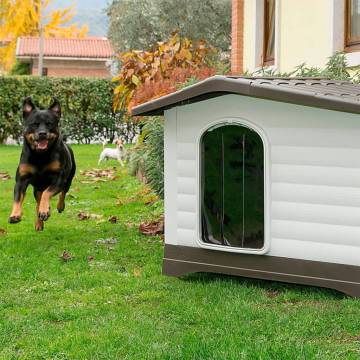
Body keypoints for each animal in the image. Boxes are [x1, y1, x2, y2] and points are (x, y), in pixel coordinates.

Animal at [8, 97, 76, 231]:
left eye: (49, 124)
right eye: (34, 124)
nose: (42, 133)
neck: (40, 155)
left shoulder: (58, 179)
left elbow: (47, 193)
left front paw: (45, 210)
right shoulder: (21, 180)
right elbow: (17, 198)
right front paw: (15, 215)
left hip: (68, 179)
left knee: (63, 192)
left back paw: (58, 207)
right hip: (37, 189)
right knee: (38, 203)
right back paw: (39, 222)